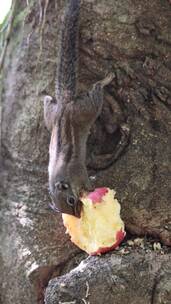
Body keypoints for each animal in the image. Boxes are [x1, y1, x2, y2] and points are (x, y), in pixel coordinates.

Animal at [43, 0, 114, 218]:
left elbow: (87, 182)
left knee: (97, 89)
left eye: (71, 201)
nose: (77, 215)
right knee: (49, 102)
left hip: (88, 109)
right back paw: (47, 96)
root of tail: (65, 103)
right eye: (66, 205)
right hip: (51, 117)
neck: (64, 175)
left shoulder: (79, 171)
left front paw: (89, 189)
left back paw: (107, 78)